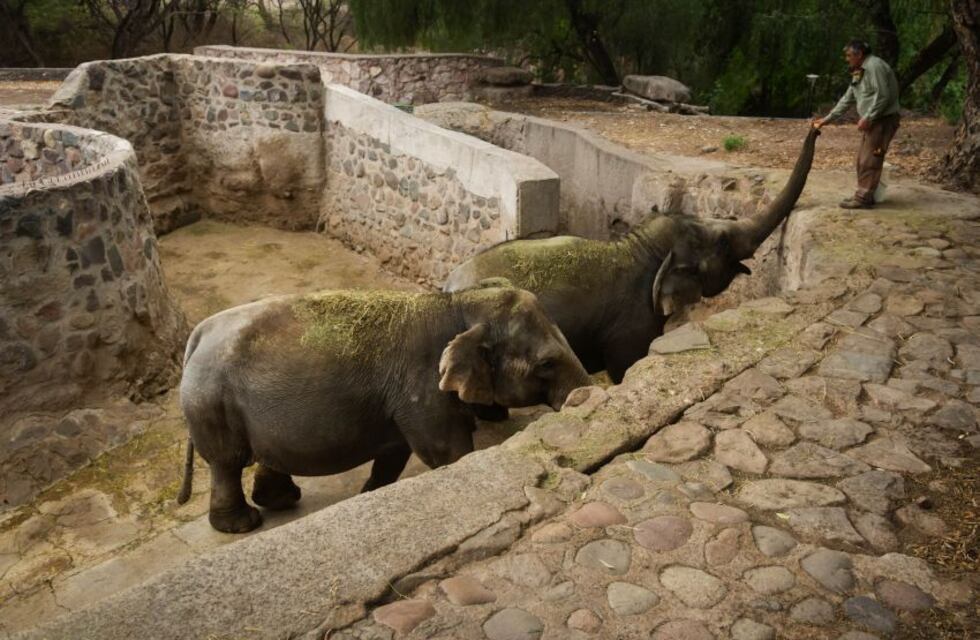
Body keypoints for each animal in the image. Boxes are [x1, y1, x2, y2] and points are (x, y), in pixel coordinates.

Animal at [176, 283, 590, 533]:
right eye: (546, 364)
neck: (457, 304)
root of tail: (198, 335)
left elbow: (395, 452)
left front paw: (370, 495)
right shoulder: (420, 383)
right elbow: (444, 451)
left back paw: (281, 500)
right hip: (212, 404)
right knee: (226, 463)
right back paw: (243, 524)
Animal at [444, 127, 820, 386]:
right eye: (724, 242)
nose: (817, 126)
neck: (641, 245)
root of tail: (448, 284)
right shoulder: (629, 323)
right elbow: (627, 366)